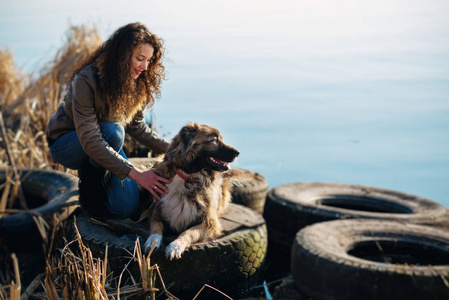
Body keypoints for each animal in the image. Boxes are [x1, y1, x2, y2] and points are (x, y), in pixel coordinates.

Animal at [144, 123, 240, 258]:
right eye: (215, 140)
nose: (238, 153)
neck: (189, 177)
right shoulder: (157, 212)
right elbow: (156, 230)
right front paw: (152, 243)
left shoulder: (209, 223)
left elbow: (187, 232)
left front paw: (175, 246)